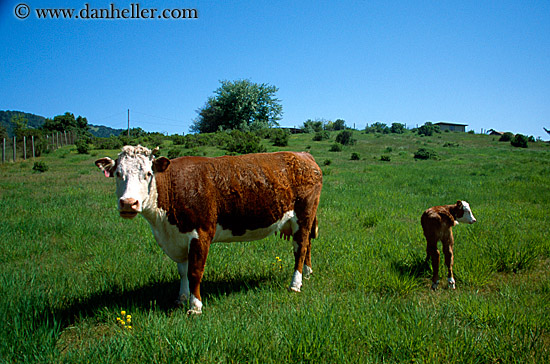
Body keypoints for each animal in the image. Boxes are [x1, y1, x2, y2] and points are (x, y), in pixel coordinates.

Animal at [96, 145, 324, 312]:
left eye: (148, 173)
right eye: (118, 173)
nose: (128, 203)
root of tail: (302, 155)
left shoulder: (201, 233)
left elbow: (195, 272)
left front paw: (195, 306)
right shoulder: (178, 237)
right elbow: (182, 271)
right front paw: (181, 298)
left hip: (304, 215)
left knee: (300, 249)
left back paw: (295, 284)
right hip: (301, 220)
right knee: (306, 245)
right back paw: (307, 273)